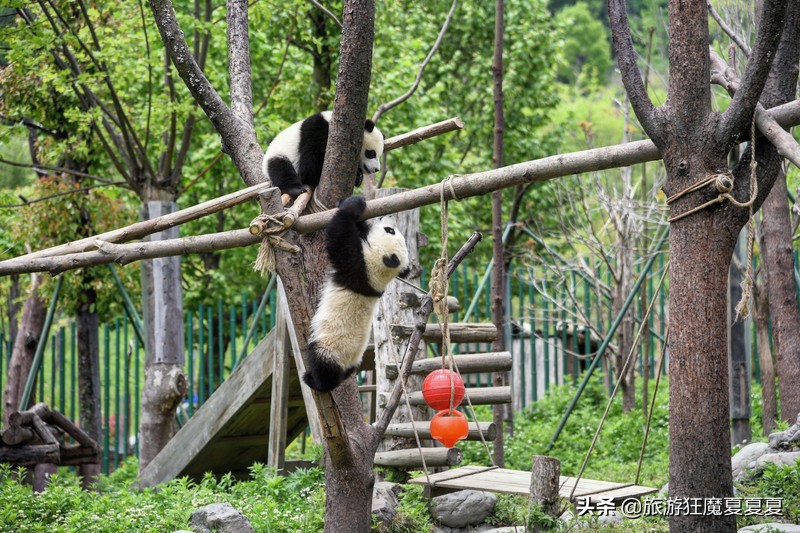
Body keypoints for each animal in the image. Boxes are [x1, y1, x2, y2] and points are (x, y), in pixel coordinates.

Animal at [302, 195, 410, 390]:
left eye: (389, 230)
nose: (389, 217)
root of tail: (345, 365)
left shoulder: (359, 268)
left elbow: (339, 239)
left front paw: (352, 205)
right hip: (353, 361)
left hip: (330, 348)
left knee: (322, 365)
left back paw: (314, 380)